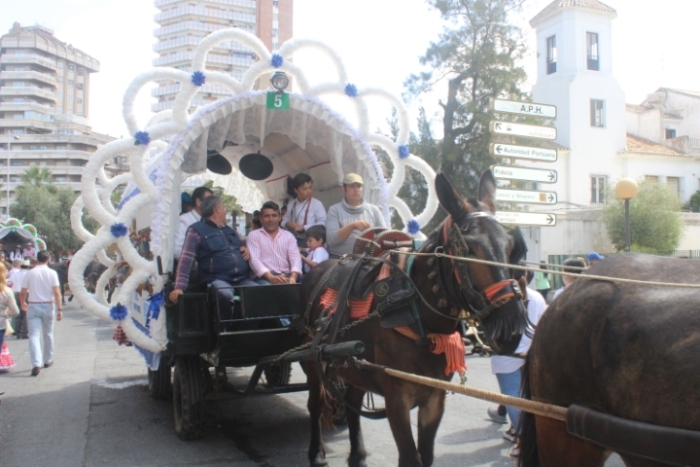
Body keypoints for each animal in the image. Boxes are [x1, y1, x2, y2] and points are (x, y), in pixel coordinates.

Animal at [304, 171, 528, 467]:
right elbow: (411, 456)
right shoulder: (396, 399)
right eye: (468, 248)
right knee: (315, 404)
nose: (511, 329)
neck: (416, 313)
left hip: (355, 365)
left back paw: (358, 454)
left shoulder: (434, 396)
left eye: (512, 247)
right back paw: (317, 452)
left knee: (352, 400)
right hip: (312, 361)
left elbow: (427, 454)